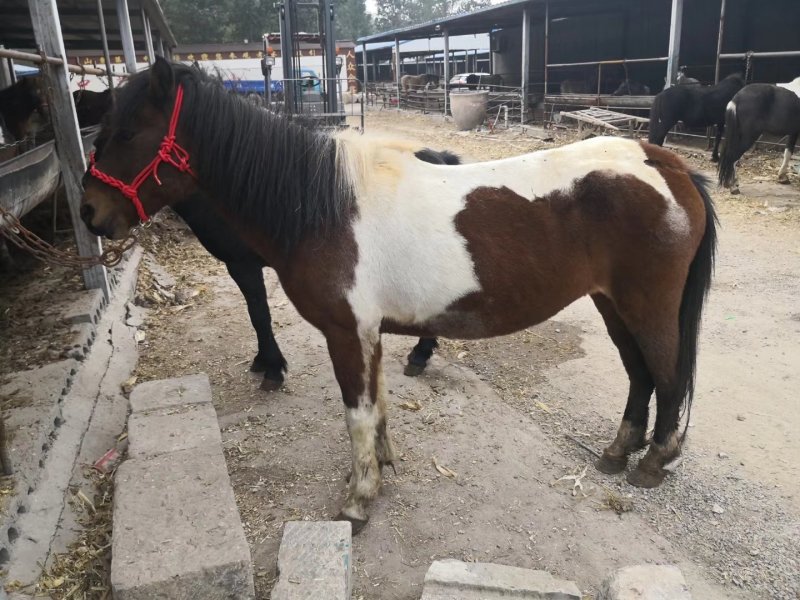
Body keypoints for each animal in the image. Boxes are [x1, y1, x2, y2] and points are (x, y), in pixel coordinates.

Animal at [81, 58, 718, 532]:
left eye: (128, 132)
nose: (89, 212)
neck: (322, 207)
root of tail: (665, 163)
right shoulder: (370, 333)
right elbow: (379, 405)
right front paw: (383, 468)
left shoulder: (346, 332)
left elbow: (357, 414)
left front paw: (359, 499)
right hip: (613, 305)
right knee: (639, 374)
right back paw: (618, 452)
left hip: (647, 306)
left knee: (664, 375)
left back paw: (654, 462)